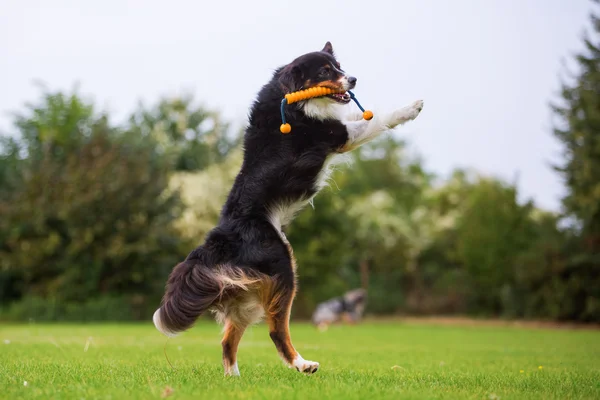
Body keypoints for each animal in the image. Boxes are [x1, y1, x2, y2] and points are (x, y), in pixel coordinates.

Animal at [152, 42, 424, 376]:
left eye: (339, 66)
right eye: (324, 71)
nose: (353, 80)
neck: (291, 95)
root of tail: (219, 239)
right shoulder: (338, 135)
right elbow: (377, 119)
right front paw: (412, 107)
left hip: (247, 292)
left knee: (228, 338)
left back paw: (233, 377)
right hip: (282, 265)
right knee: (276, 330)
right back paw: (302, 364)